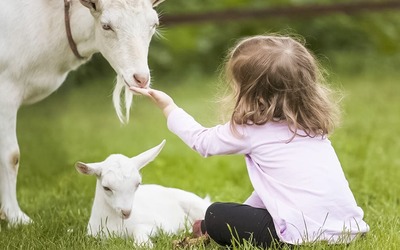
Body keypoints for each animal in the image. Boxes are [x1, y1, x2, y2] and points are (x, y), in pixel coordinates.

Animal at [0, 0, 166, 226]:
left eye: (154, 24)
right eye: (106, 26)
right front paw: (16, 217)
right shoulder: (6, 89)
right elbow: (11, 155)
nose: (140, 78)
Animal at [74, 140, 209, 247]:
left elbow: (141, 228)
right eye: (106, 188)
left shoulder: (160, 225)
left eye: (138, 184)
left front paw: (144, 244)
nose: (126, 212)